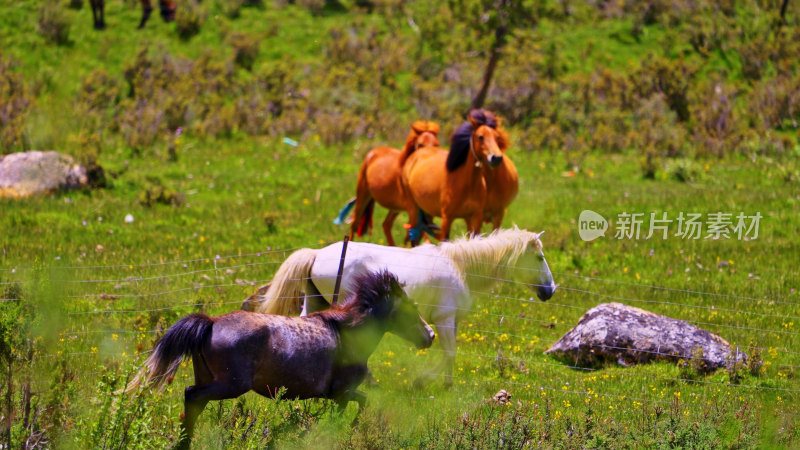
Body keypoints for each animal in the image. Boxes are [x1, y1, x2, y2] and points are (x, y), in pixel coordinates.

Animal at [127, 268, 434, 448]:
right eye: (409, 307)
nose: (429, 335)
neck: (347, 334)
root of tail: (211, 323)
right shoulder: (341, 392)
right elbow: (351, 410)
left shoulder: (338, 393)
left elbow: (364, 402)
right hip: (229, 385)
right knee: (191, 395)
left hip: (210, 380)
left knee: (193, 403)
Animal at [253, 229, 552, 386]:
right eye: (539, 257)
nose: (550, 290)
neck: (460, 267)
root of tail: (316, 254)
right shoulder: (444, 319)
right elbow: (449, 353)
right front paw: (428, 381)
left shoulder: (451, 321)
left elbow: (450, 354)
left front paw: (445, 384)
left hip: (315, 301)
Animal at [404, 108, 516, 243]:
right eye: (480, 137)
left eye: (497, 137)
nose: (496, 158)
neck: (466, 184)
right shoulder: (447, 218)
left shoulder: (475, 217)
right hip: (413, 209)